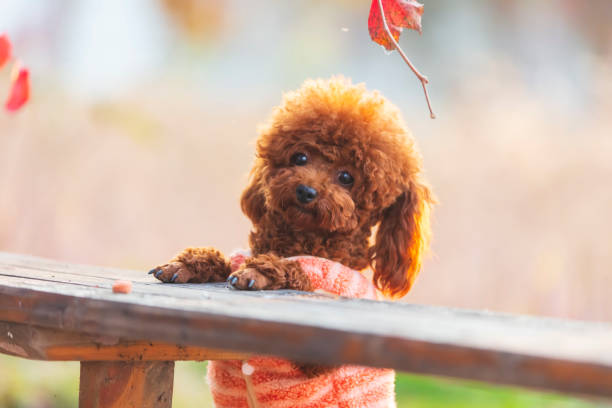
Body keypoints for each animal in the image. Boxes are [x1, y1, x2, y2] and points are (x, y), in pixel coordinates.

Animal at [151, 75, 432, 300]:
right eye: (300, 157)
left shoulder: (326, 279)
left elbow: (296, 268)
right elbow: (221, 261)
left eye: (346, 177)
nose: (306, 191)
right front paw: (185, 265)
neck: (302, 239)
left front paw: (259, 271)